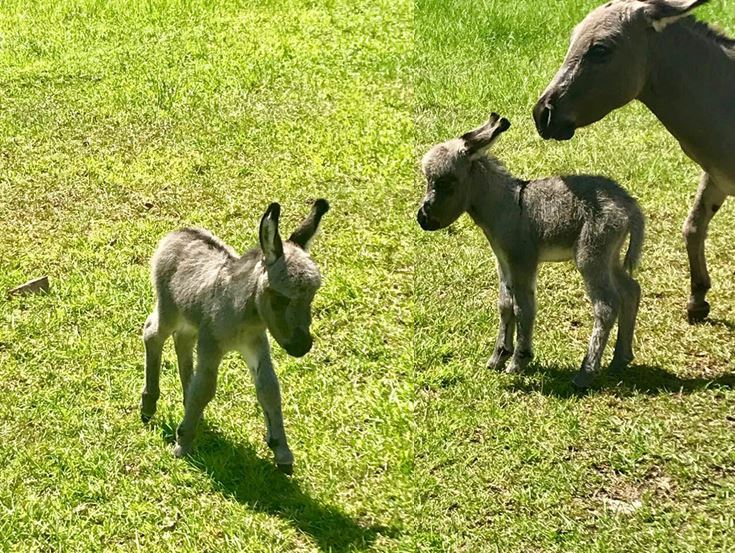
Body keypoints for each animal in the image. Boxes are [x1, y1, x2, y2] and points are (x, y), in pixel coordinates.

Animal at [140, 198, 328, 470]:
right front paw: (183, 444)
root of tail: (180, 231)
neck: (245, 316)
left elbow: (269, 388)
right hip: (169, 309)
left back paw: (186, 404)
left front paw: (282, 452)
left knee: (182, 341)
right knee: (153, 334)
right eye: (280, 299)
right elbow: (206, 387)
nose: (302, 347)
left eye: (311, 297)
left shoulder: (256, 343)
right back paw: (149, 405)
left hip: (191, 320)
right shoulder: (211, 344)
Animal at [416, 114, 648, 386]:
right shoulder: (503, 260)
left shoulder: (522, 260)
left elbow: (523, 308)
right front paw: (498, 357)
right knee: (631, 290)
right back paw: (620, 359)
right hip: (610, 256)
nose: (422, 220)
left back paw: (586, 372)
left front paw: (519, 361)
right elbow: (505, 304)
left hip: (591, 254)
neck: (506, 205)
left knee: (607, 306)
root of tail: (629, 204)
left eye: (446, 182)